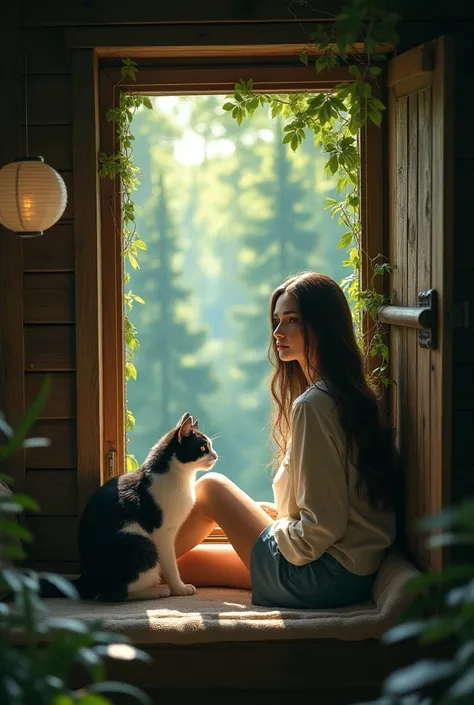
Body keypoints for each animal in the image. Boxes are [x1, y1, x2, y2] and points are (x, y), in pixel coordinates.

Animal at [41, 412, 218, 600]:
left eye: (211, 446)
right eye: (203, 448)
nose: (215, 456)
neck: (179, 478)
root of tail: (85, 579)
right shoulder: (162, 532)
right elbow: (170, 564)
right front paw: (179, 588)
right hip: (141, 544)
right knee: (112, 594)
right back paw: (158, 590)